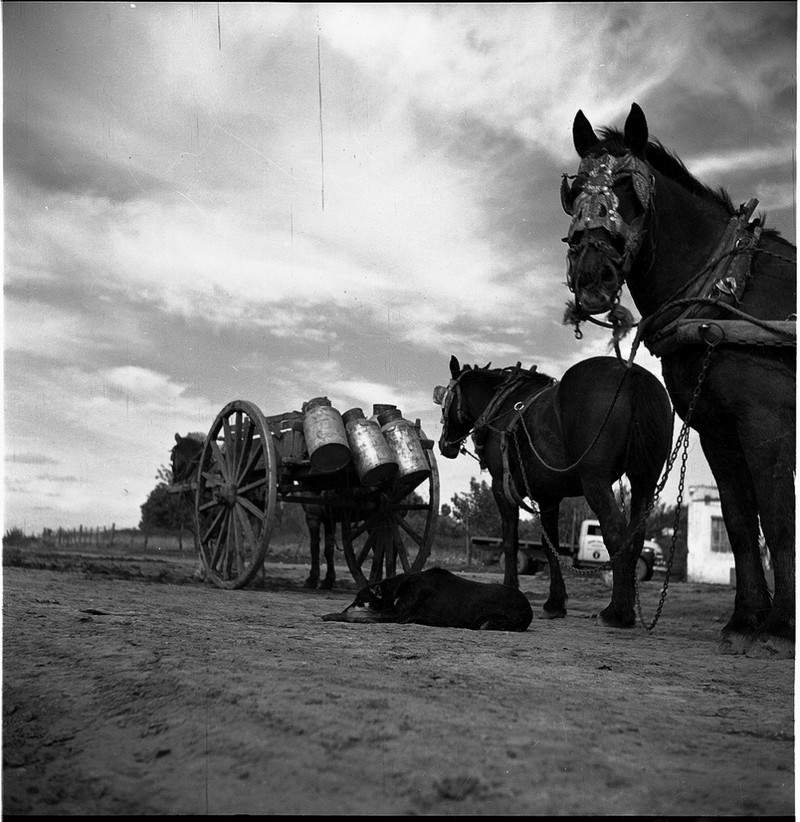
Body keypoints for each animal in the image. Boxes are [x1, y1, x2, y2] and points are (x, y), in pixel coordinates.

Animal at [170, 434, 340, 588]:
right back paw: (258, 575)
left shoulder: (202, 511)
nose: (175, 480)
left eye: (172, 458)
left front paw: (205, 573)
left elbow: (208, 541)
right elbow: (219, 539)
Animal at [318, 568, 532, 636]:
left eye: (358, 600)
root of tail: (529, 608)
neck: (398, 587)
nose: (343, 609)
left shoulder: (397, 614)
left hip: (490, 621)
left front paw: (333, 615)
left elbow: (359, 614)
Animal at [434, 356, 672, 632]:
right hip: (644, 480)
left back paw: (617, 611)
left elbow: (510, 541)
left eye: (445, 398)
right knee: (636, 534)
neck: (502, 406)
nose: (444, 445)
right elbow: (551, 547)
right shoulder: (548, 497)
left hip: (595, 480)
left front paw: (511, 588)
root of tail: (632, 373)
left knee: (614, 531)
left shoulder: (501, 488)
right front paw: (555, 604)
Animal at [560, 104, 796, 656]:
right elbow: (738, 520)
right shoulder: (717, 431)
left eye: (628, 188)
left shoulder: (767, 425)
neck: (731, 293)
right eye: (574, 193)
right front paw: (744, 619)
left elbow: (776, 521)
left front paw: (778, 628)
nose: (593, 278)